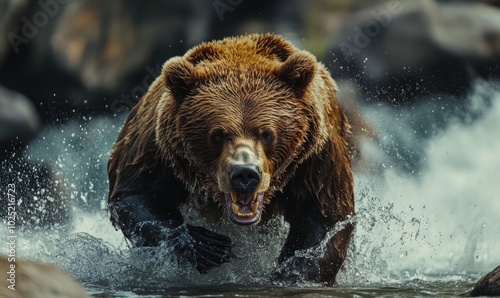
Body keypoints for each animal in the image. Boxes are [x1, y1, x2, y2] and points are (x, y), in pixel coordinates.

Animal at [107, 32, 354, 284]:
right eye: (217, 135)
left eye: (266, 133)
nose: (245, 173)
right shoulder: (158, 146)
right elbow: (137, 194)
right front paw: (207, 245)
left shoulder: (314, 157)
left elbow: (324, 219)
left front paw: (290, 274)